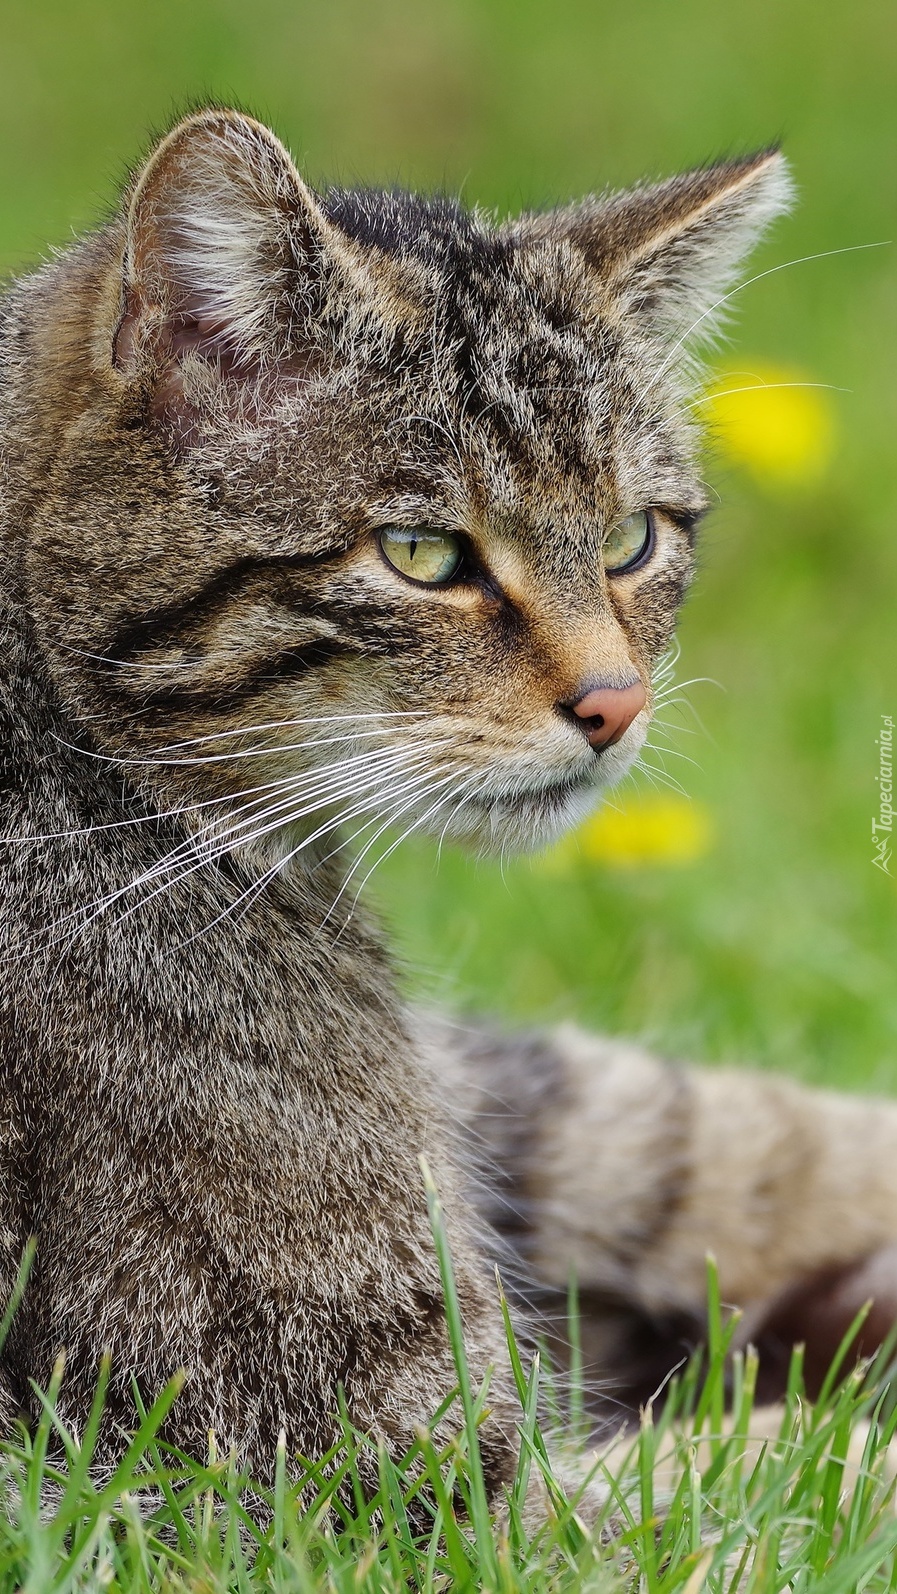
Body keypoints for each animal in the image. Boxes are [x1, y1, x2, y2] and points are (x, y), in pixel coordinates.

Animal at [1, 109, 897, 1491]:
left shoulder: (495, 1099)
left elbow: (716, 1127)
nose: (616, 704)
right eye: (424, 555)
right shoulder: (359, 1466)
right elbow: (787, 1470)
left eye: (633, 538)